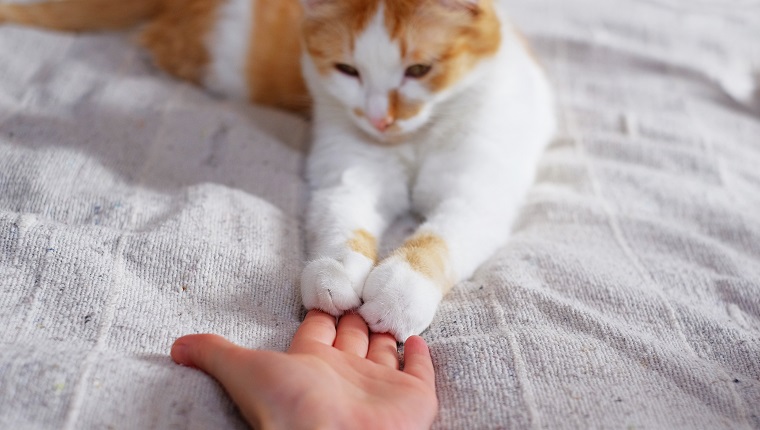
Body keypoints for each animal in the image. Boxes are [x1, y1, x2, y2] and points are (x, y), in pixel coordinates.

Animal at [1, 0, 560, 342]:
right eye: (347, 71)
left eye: (419, 70)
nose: (378, 118)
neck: (413, 139)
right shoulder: (344, 169)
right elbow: (342, 219)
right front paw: (337, 270)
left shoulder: (480, 190)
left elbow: (440, 238)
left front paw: (401, 291)